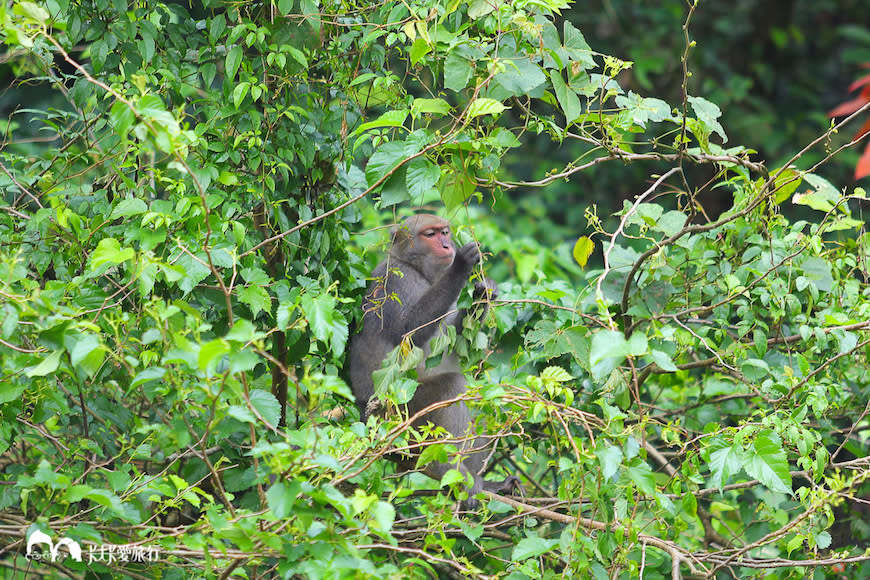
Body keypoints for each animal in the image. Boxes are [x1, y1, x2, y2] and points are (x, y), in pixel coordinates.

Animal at [350, 213, 520, 508]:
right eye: (430, 234)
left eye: (445, 232)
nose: (447, 245)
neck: (416, 268)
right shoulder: (397, 281)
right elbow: (409, 331)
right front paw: (461, 265)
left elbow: (454, 339)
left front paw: (483, 294)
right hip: (401, 419)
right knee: (452, 386)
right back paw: (451, 472)